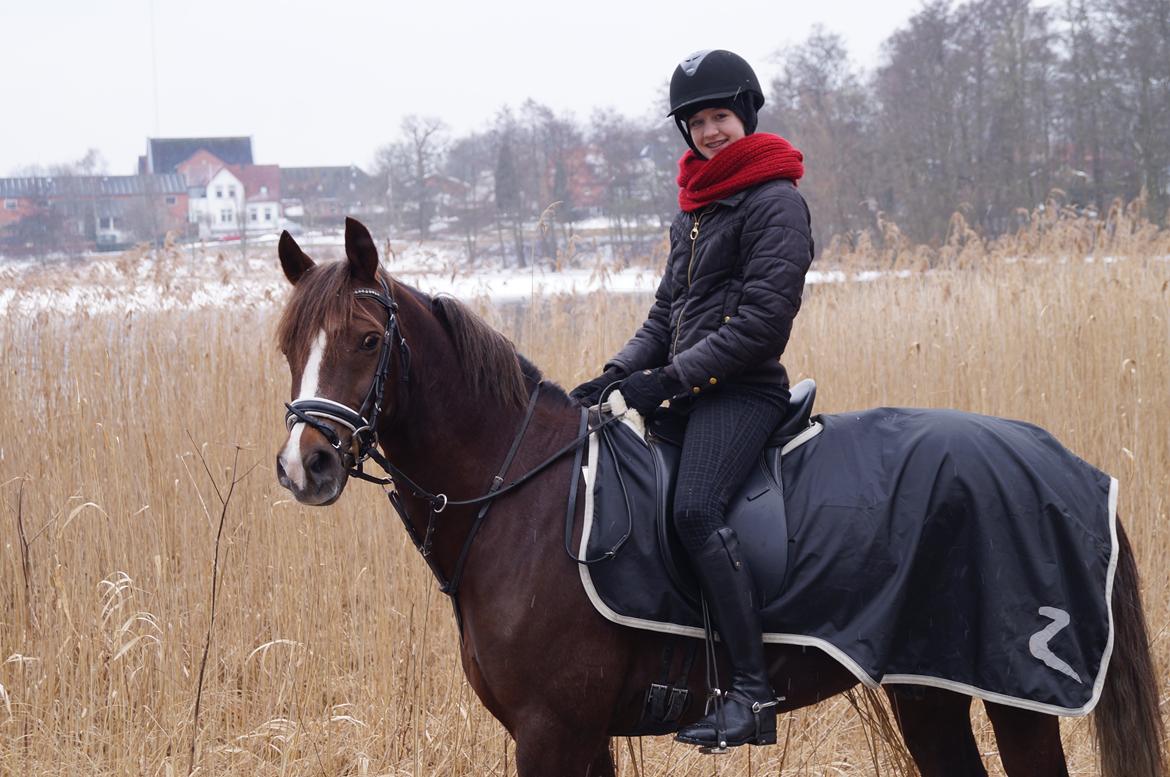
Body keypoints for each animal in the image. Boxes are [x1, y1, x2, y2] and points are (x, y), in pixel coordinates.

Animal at [271, 218, 1160, 777]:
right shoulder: (583, 732)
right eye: (288, 344)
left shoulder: (551, 730)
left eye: (369, 340)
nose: (304, 464)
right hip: (928, 689)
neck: (519, 497)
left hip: (1017, 696)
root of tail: (1059, 461)